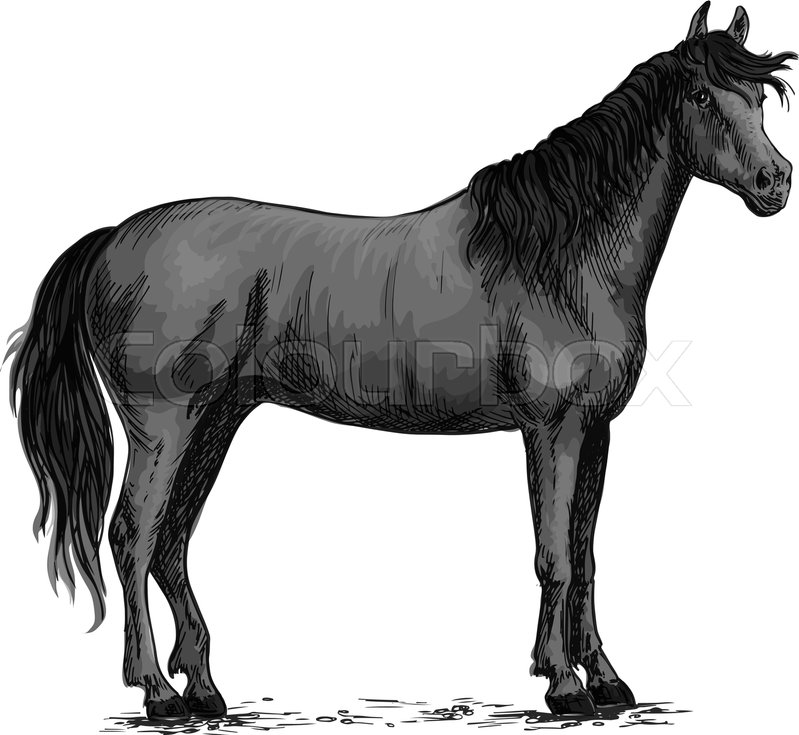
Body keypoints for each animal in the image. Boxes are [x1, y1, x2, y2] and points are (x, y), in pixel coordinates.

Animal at [7, 1, 795, 721]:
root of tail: (113, 238)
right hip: (164, 427)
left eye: (759, 98)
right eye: (702, 97)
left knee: (171, 544)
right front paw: (562, 684)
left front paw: (607, 681)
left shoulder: (595, 430)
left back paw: (202, 689)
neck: (557, 255)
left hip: (215, 422)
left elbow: (587, 555)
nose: (775, 181)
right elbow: (554, 556)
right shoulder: (551, 429)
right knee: (133, 538)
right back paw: (158, 691)